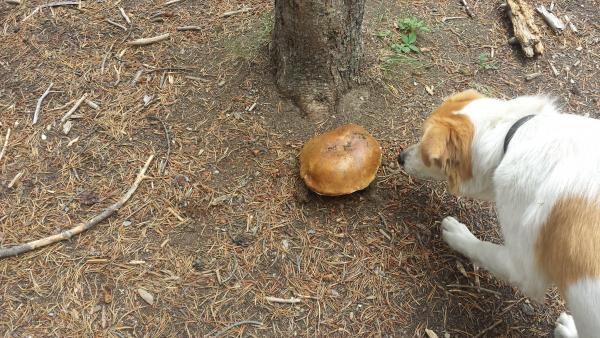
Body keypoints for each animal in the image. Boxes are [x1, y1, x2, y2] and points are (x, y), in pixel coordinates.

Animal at [398, 88, 600, 336]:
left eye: (429, 156)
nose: (400, 158)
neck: (511, 134)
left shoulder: (521, 267)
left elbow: (481, 248)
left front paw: (458, 234)